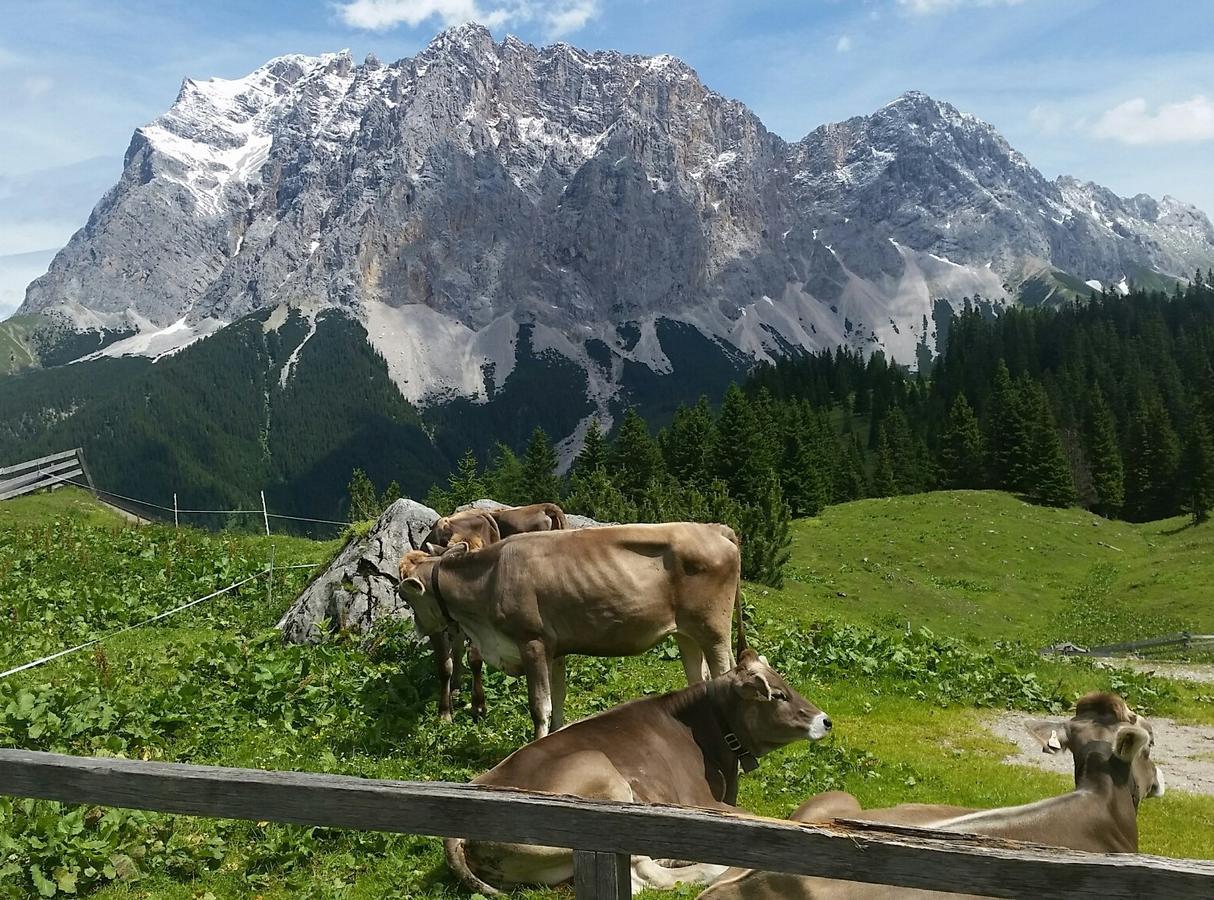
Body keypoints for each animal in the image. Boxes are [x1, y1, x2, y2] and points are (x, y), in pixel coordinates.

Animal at [398, 519, 742, 738]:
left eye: (405, 595)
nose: (422, 630)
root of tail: (713, 528)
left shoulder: (532, 643)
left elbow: (540, 706)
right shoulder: (555, 649)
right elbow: (558, 697)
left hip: (713, 630)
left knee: (724, 671)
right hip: (687, 634)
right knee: (698, 678)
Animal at [446, 651, 835, 893]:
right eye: (778, 695)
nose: (825, 720)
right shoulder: (701, 802)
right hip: (599, 775)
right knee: (645, 872)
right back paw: (710, 868)